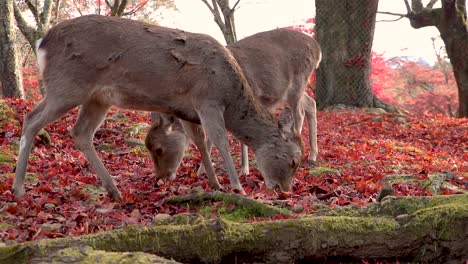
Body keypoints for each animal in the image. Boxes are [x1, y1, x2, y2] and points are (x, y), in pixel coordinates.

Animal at [11, 14, 308, 200]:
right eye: (294, 160)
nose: (284, 190)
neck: (233, 92)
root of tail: (42, 43)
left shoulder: (187, 110)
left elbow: (200, 143)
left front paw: (214, 183)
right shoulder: (207, 99)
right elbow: (221, 140)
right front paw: (237, 187)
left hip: (97, 98)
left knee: (80, 132)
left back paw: (114, 190)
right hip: (67, 85)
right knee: (31, 119)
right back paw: (18, 189)